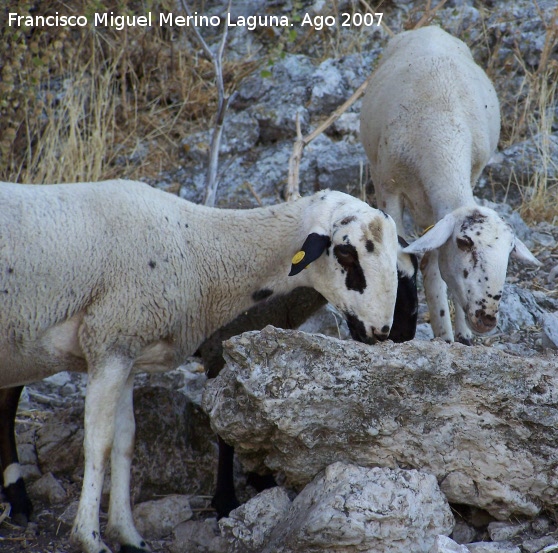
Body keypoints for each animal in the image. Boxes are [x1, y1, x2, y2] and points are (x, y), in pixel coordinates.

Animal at [0, 180, 402, 552]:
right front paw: (90, 538)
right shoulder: (109, 342)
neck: (199, 246)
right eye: (346, 253)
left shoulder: (128, 353)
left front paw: (127, 534)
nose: (381, 332)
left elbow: (125, 442)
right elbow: (99, 443)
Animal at [360, 27, 540, 344]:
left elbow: (435, 267)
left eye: (509, 252)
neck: (441, 132)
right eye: (464, 243)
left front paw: (453, 334)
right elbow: (399, 259)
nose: (487, 319)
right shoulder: (388, 187)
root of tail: (431, 28)